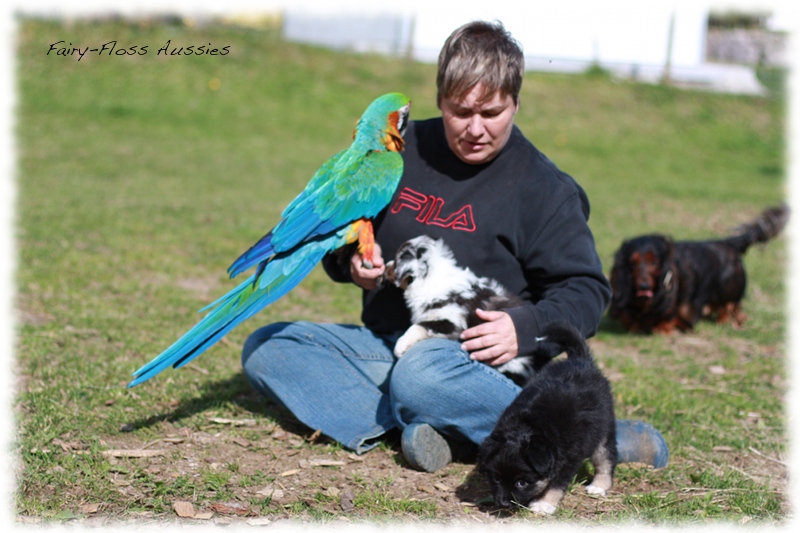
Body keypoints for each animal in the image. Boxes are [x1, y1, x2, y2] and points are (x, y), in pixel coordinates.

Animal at [382, 235, 536, 384]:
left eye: (396, 262)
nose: (385, 266)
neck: (431, 279)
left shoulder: (452, 322)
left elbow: (418, 326)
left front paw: (400, 346)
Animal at [476, 322, 620, 512]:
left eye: (521, 483)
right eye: (496, 479)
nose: (504, 504)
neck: (528, 426)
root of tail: (581, 360)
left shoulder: (569, 458)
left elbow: (555, 484)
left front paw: (544, 504)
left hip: (603, 428)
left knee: (606, 457)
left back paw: (599, 486)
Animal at [612, 204, 788, 332]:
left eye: (654, 262)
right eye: (632, 263)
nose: (643, 286)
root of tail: (728, 244)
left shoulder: (687, 312)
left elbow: (667, 321)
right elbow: (629, 319)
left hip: (729, 289)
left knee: (730, 306)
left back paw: (724, 320)